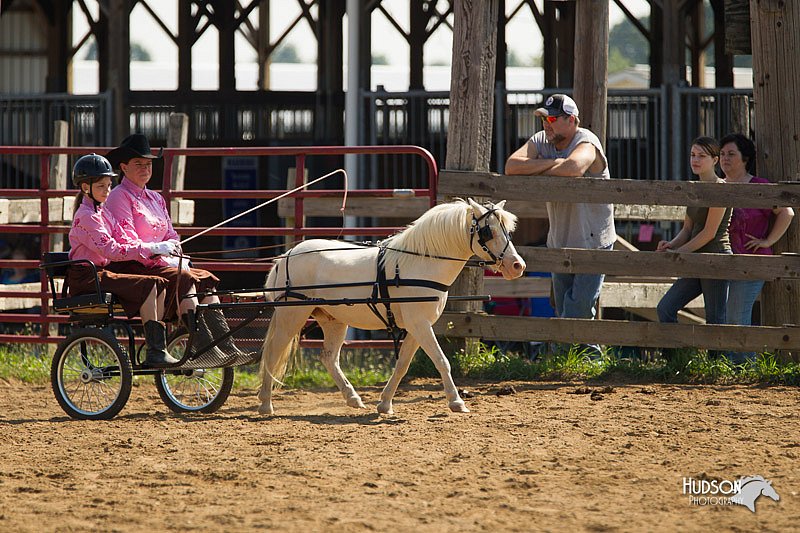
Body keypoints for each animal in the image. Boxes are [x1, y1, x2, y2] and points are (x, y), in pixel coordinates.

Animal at [260, 197, 528, 414]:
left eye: (508, 230)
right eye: (488, 232)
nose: (517, 265)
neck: (420, 263)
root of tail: (286, 256)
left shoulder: (416, 326)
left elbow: (402, 365)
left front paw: (385, 404)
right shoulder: (419, 324)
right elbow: (442, 360)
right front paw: (456, 402)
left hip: (333, 320)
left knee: (328, 358)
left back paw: (353, 398)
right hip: (292, 315)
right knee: (272, 353)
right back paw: (265, 404)